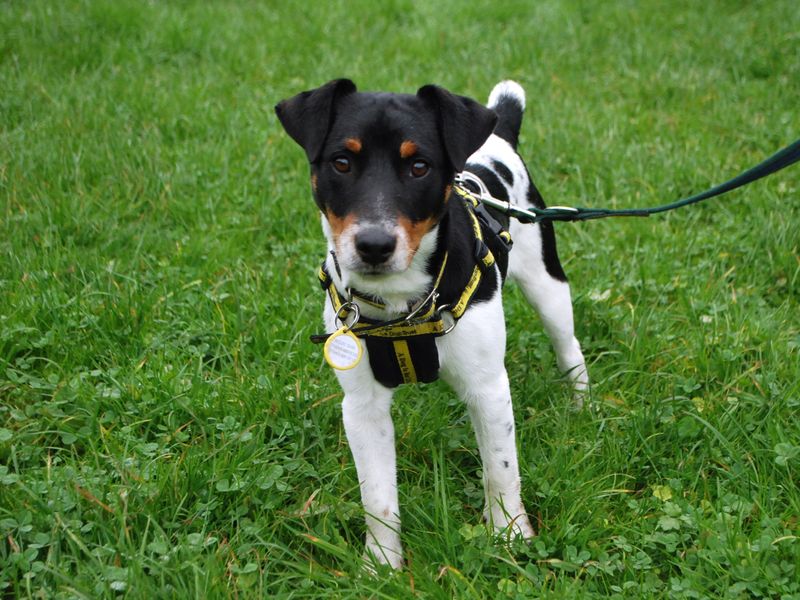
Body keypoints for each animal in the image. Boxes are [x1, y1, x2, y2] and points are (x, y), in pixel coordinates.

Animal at [276, 79, 588, 568]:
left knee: (568, 346)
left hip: (546, 283)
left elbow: (501, 471)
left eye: (419, 166)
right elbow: (377, 498)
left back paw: (581, 405)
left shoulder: (488, 388)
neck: (399, 304)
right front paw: (381, 565)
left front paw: (511, 535)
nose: (374, 245)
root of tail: (501, 134)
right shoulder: (362, 406)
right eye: (342, 162)